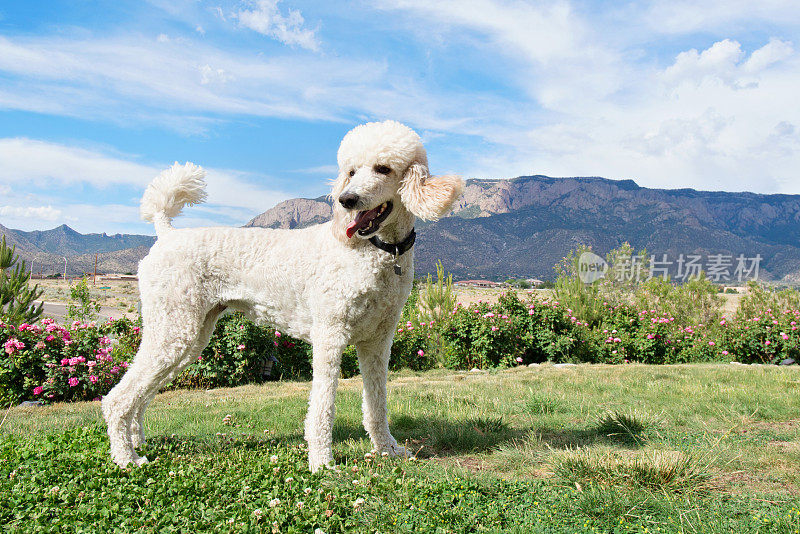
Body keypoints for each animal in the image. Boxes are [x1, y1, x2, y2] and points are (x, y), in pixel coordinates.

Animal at [101, 121, 466, 474]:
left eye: (383, 168)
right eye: (350, 171)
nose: (346, 200)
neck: (376, 251)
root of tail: (166, 234)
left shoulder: (377, 341)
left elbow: (377, 402)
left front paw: (387, 450)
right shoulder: (330, 334)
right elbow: (323, 405)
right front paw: (322, 462)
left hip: (188, 334)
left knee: (140, 393)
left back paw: (138, 442)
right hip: (175, 329)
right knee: (118, 398)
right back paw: (126, 459)